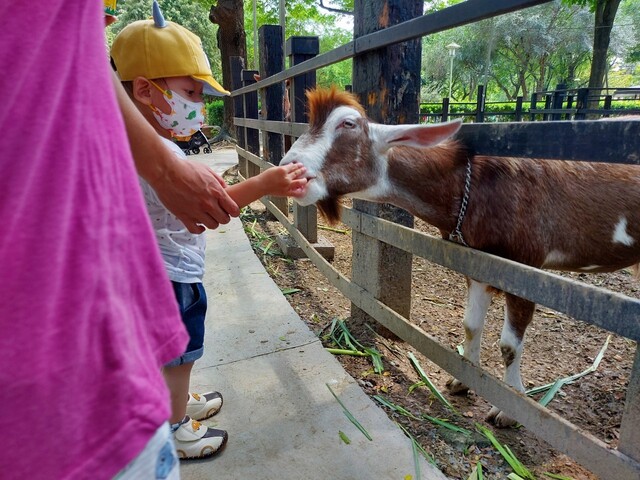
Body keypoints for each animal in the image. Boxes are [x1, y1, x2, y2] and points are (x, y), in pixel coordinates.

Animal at [280, 86, 640, 428]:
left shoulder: (526, 268)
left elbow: (509, 345)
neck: (474, 187)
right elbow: (470, 325)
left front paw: (508, 409)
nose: (287, 168)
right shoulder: (478, 262)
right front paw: (461, 381)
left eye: (348, 124)